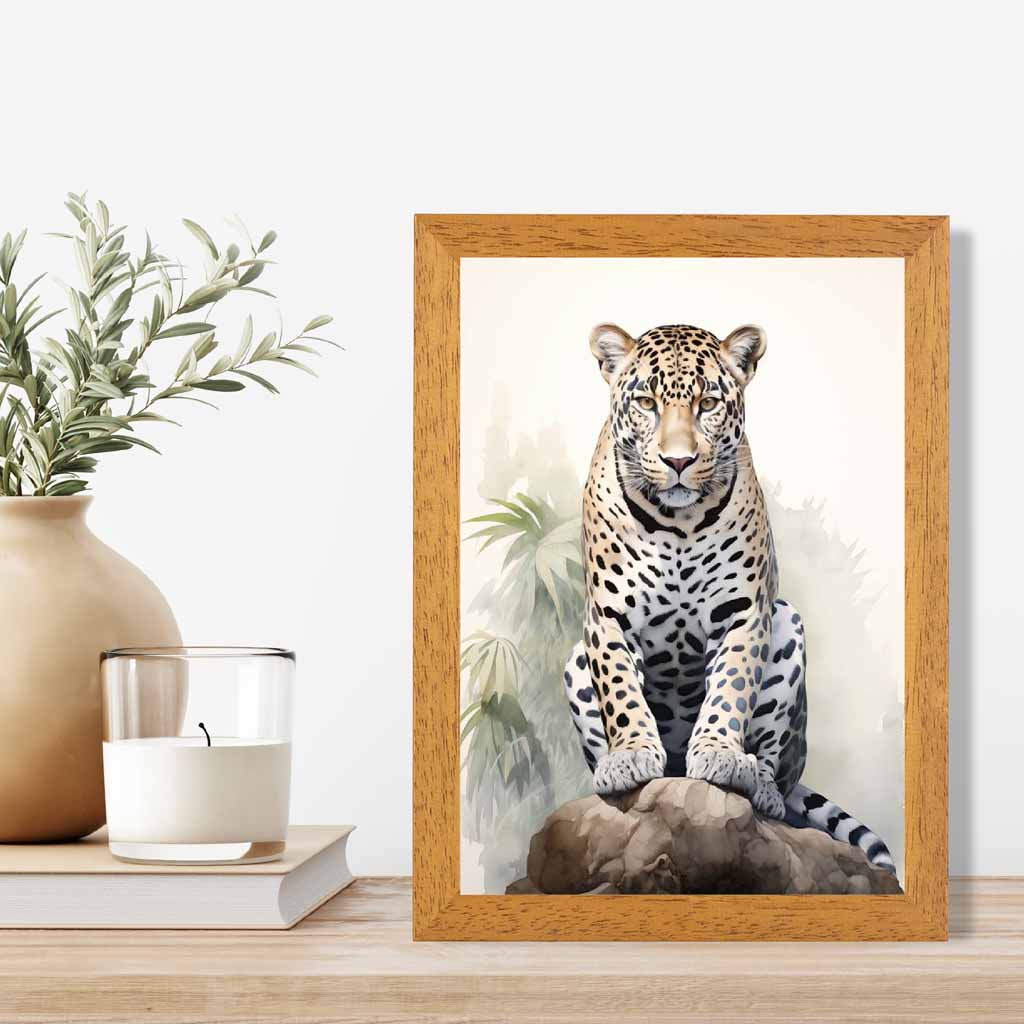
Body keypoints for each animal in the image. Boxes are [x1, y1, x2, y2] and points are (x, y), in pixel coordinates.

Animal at [562, 321, 897, 876]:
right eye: (647, 402)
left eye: (709, 403)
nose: (678, 460)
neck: (675, 524)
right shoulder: (607, 618)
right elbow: (622, 694)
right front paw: (630, 755)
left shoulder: (744, 614)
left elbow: (731, 690)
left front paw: (719, 751)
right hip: (573, 661)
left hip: (789, 628)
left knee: (777, 772)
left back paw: (758, 783)